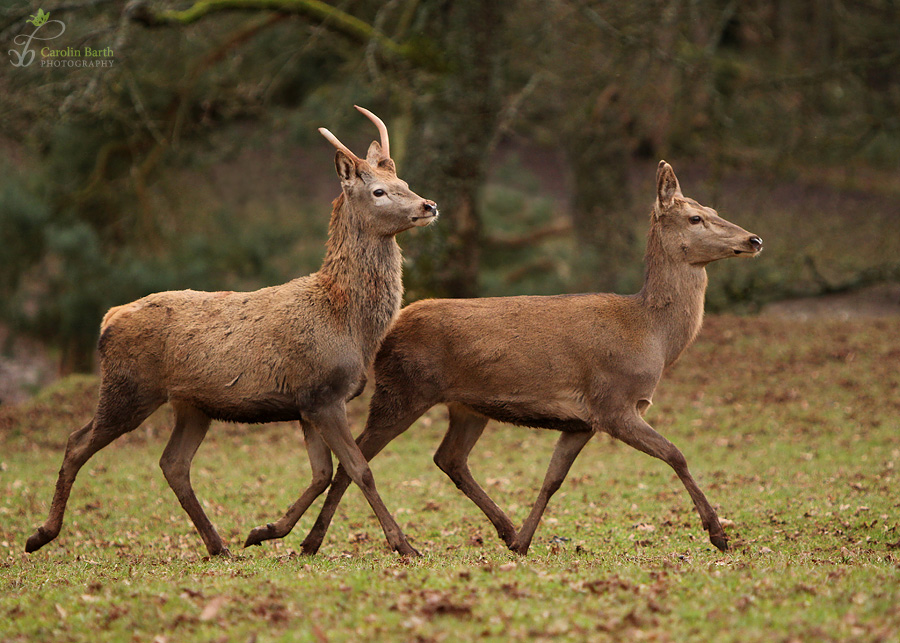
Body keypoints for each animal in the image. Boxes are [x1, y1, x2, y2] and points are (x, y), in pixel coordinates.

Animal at [25, 107, 436, 560]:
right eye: (379, 191)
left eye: (405, 183)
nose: (429, 205)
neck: (349, 323)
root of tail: (108, 319)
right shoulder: (324, 393)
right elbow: (360, 469)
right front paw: (404, 545)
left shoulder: (307, 401)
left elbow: (322, 473)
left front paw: (265, 531)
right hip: (128, 388)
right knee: (76, 442)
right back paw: (40, 535)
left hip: (191, 405)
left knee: (173, 464)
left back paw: (218, 544)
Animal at [268, 160, 760, 552]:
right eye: (696, 218)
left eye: (716, 211)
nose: (754, 239)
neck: (651, 336)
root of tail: (390, 329)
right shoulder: (614, 402)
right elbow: (677, 454)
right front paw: (719, 534)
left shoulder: (580, 421)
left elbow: (553, 478)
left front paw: (524, 540)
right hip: (401, 390)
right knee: (356, 459)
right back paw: (311, 542)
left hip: (466, 405)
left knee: (448, 458)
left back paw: (501, 530)